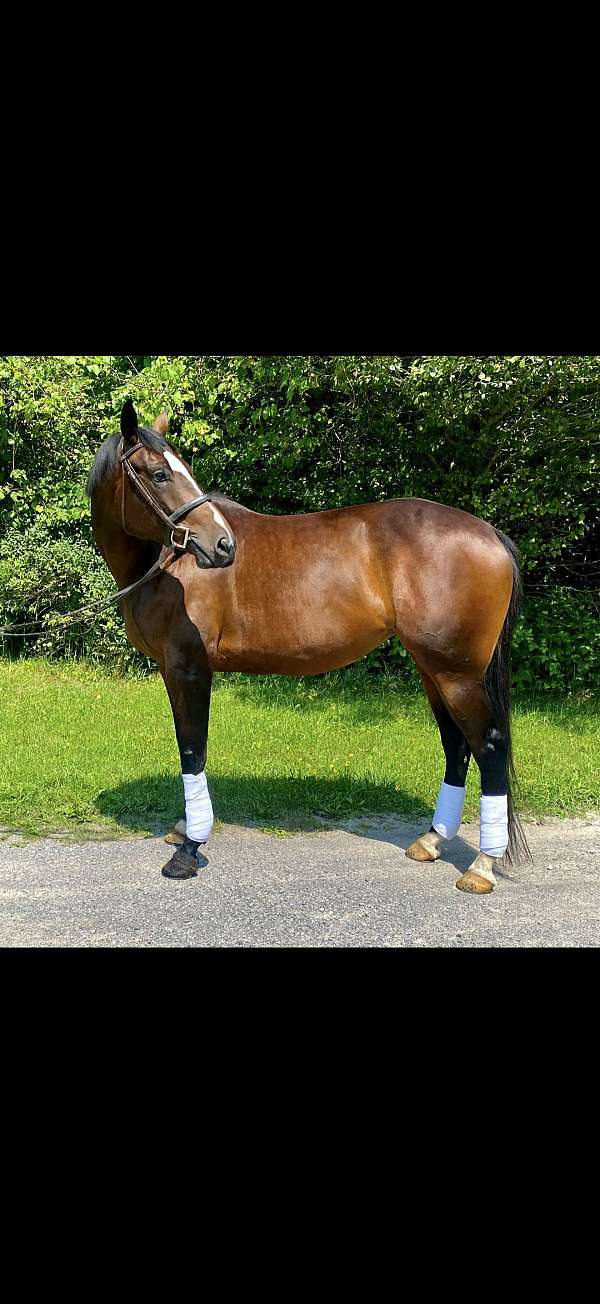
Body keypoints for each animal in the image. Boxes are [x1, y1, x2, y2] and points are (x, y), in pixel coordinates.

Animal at [87, 399, 529, 893]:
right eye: (160, 473)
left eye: (180, 469)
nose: (222, 546)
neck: (167, 566)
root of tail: (491, 535)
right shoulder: (175, 670)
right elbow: (190, 747)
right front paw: (186, 829)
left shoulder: (188, 668)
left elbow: (192, 750)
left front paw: (189, 847)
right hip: (432, 669)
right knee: (456, 745)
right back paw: (431, 841)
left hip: (458, 673)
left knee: (488, 745)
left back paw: (482, 864)